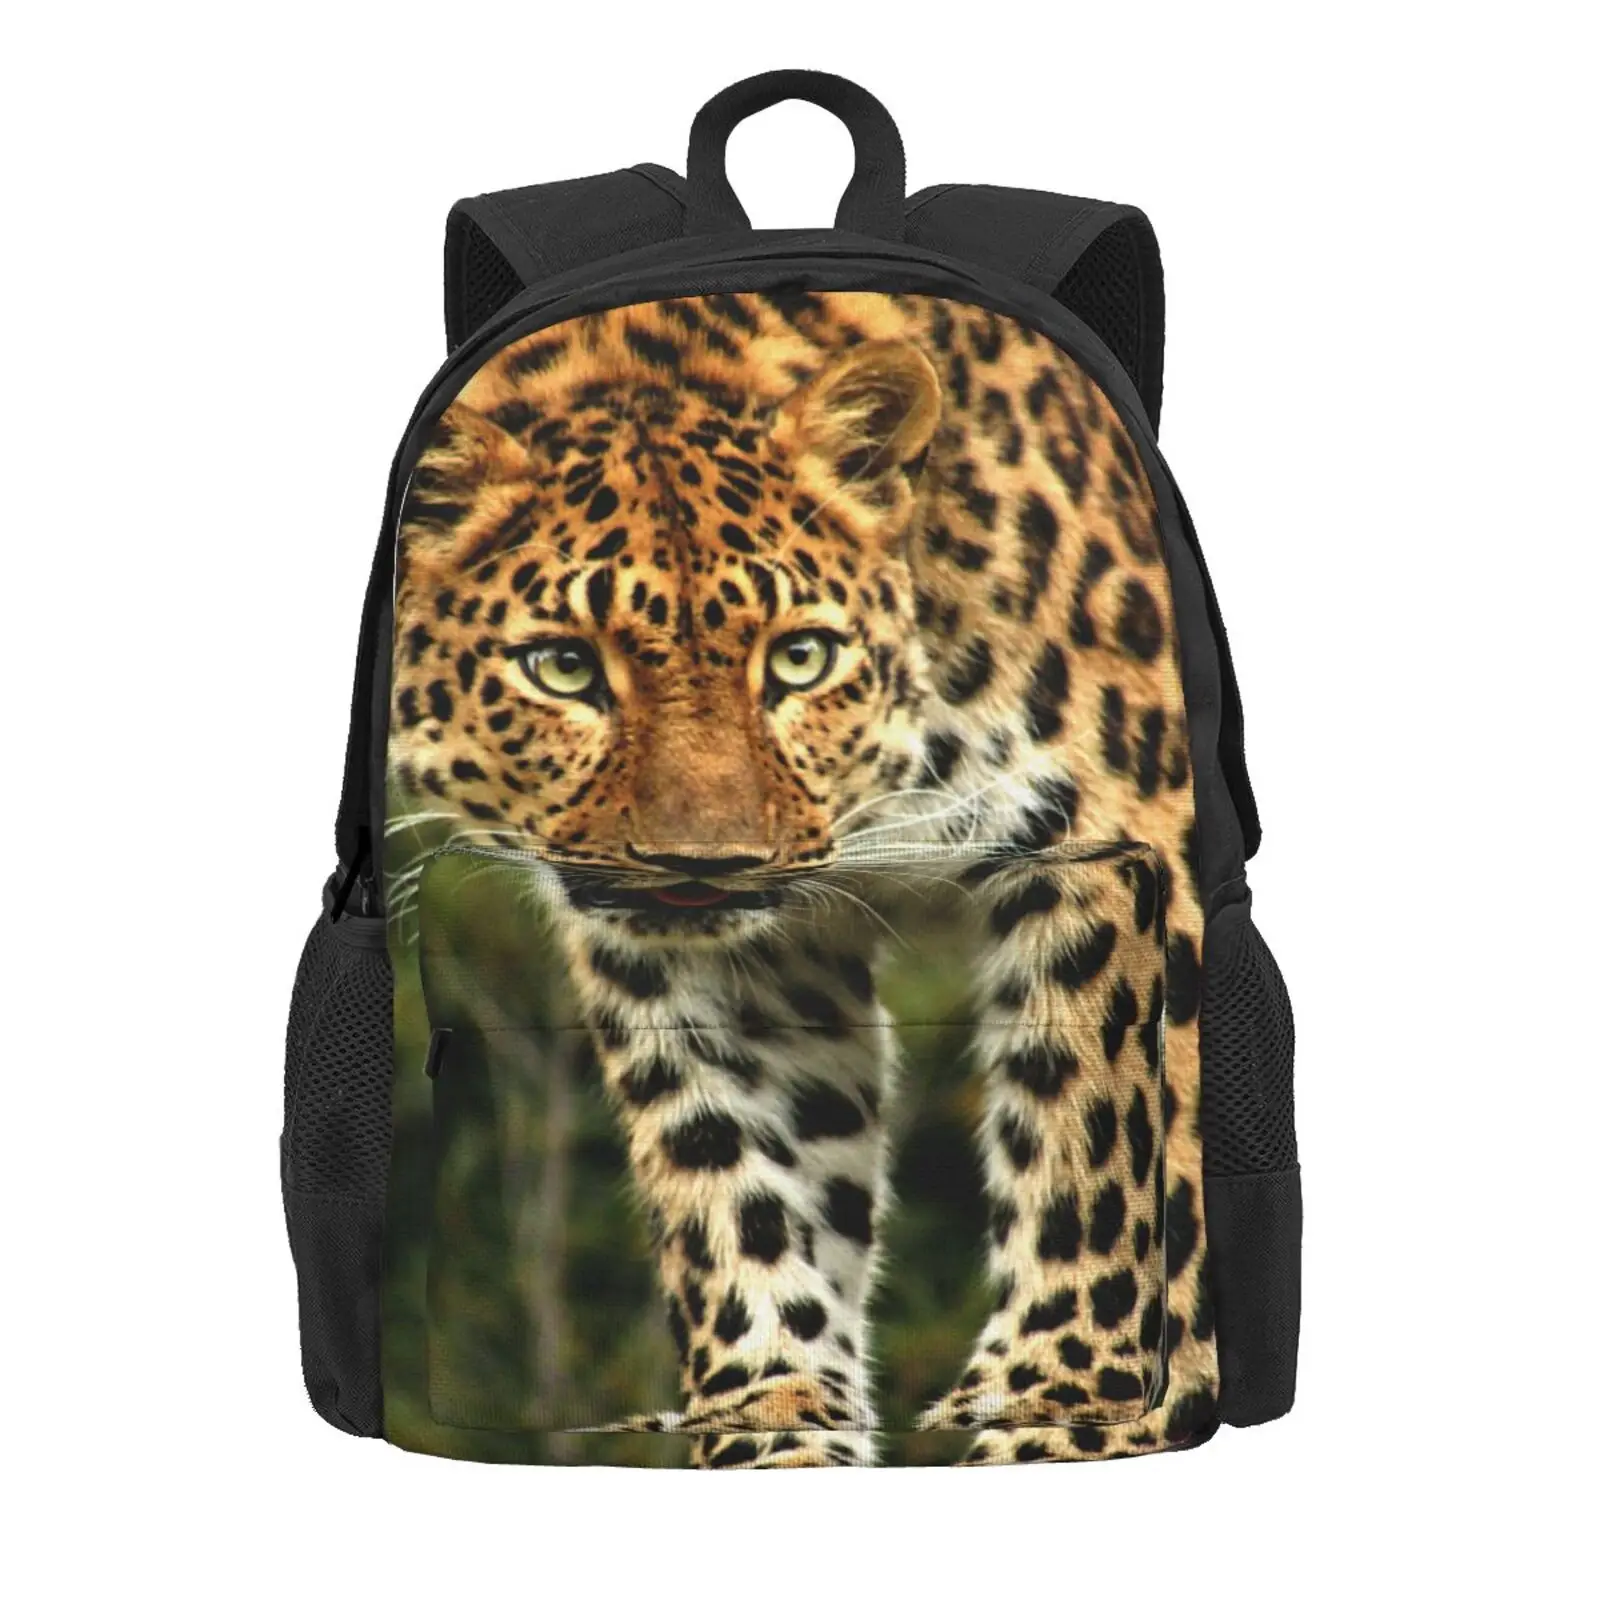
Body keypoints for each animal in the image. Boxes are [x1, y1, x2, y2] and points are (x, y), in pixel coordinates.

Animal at [388, 289, 1218, 1466]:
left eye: (799, 657)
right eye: (563, 667)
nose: (703, 865)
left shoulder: (1117, 849)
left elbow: (1099, 1148)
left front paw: (1063, 1413)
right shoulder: (736, 964)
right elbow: (743, 1195)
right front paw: (775, 1432)